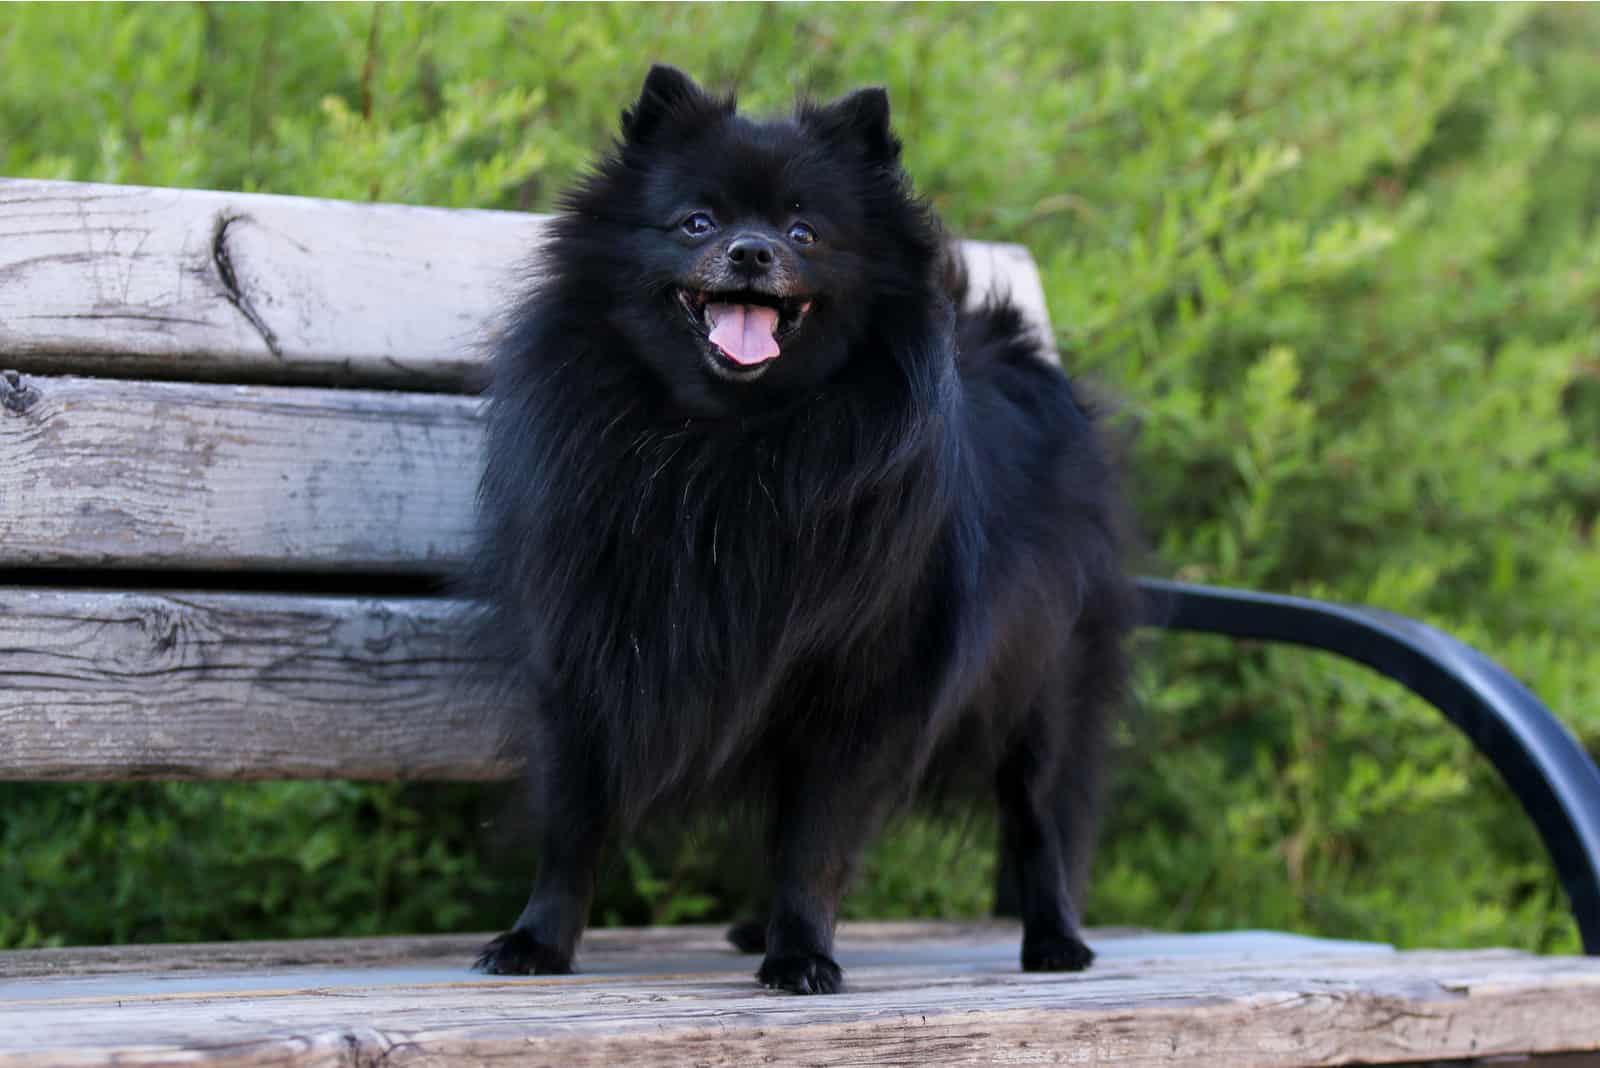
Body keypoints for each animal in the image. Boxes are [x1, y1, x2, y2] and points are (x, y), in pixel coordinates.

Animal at [467, 66, 1132, 997]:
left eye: (803, 232)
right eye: (697, 222)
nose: (751, 251)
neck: (730, 443)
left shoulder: (857, 688)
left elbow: (818, 839)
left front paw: (804, 953)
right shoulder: (584, 664)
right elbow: (574, 824)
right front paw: (538, 941)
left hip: (1042, 688)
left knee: (1040, 818)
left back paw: (1057, 940)